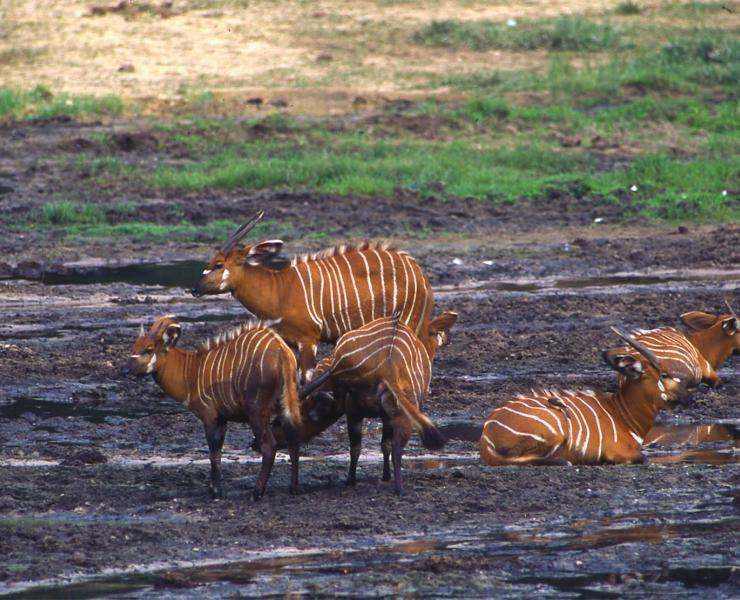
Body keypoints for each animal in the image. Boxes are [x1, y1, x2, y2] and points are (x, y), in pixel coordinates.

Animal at [124, 316, 300, 500]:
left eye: (149, 349)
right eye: (134, 346)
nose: (126, 370)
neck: (191, 372)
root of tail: (282, 352)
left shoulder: (209, 417)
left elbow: (213, 453)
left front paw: (216, 491)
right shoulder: (222, 419)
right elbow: (219, 452)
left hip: (257, 412)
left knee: (269, 445)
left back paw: (257, 492)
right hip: (285, 404)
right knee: (294, 439)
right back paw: (293, 488)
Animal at [189, 213, 434, 378]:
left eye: (218, 264)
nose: (194, 289)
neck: (279, 289)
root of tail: (419, 273)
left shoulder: (308, 339)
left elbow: (305, 378)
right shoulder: (291, 342)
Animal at [300, 312, 456, 494]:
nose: (448, 338)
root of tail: (389, 366)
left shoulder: (367, 413)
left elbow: (380, 445)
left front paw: (383, 476)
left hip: (370, 411)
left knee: (375, 446)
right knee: (390, 446)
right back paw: (393, 487)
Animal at [480, 330, 692, 466]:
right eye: (664, 375)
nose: (688, 398)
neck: (621, 414)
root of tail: (487, 433)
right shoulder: (618, 452)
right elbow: (643, 457)